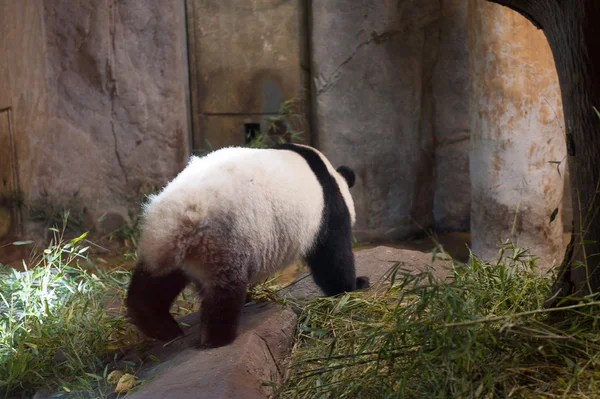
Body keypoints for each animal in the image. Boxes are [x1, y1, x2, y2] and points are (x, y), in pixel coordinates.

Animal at [125, 142, 368, 348]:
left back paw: (161, 327)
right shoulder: (327, 212)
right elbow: (332, 258)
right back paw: (217, 338)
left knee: (155, 282)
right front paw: (355, 284)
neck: (329, 174)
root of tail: (180, 216)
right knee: (224, 290)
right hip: (225, 239)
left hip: (164, 248)